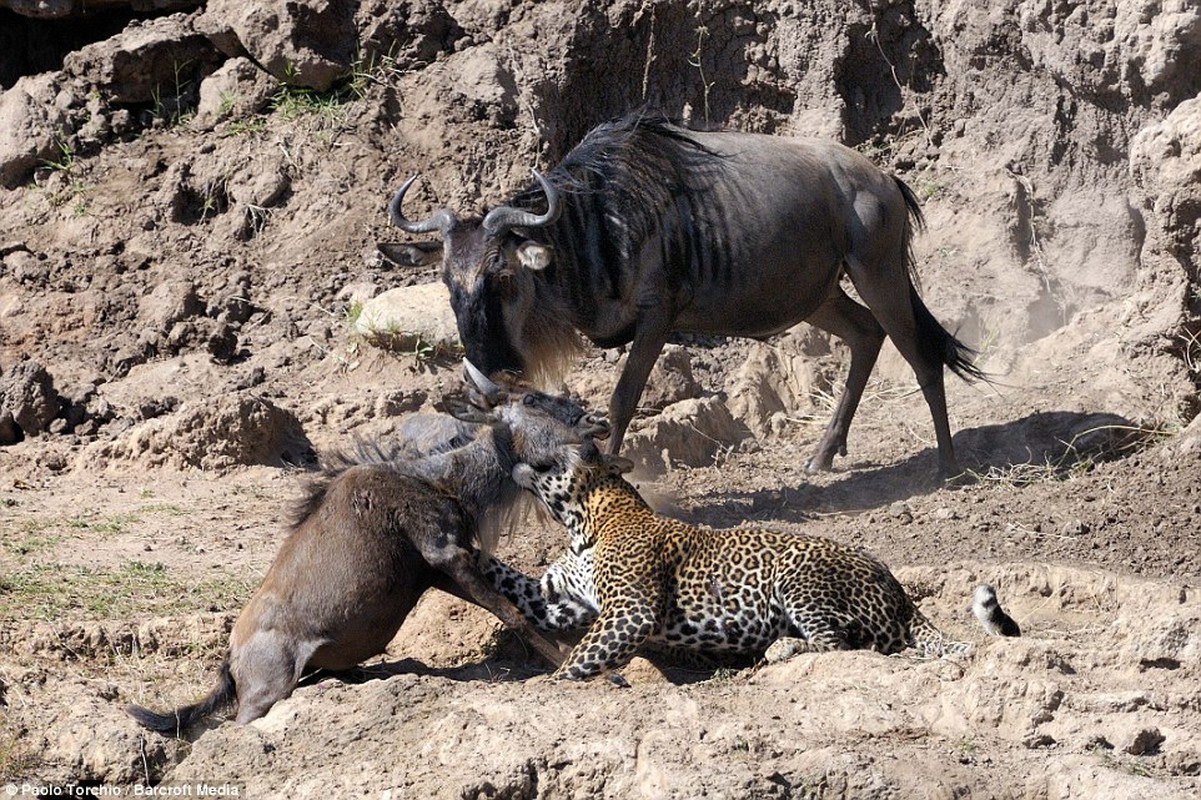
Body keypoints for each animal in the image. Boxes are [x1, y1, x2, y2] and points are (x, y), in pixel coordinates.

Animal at [485, 437, 1013, 677]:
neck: (583, 525)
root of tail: (901, 593)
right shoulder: (559, 602)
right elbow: (509, 578)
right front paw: (464, 547)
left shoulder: (630, 612)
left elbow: (579, 659)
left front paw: (548, 685)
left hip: (799, 576)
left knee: (844, 646)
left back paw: (782, 650)